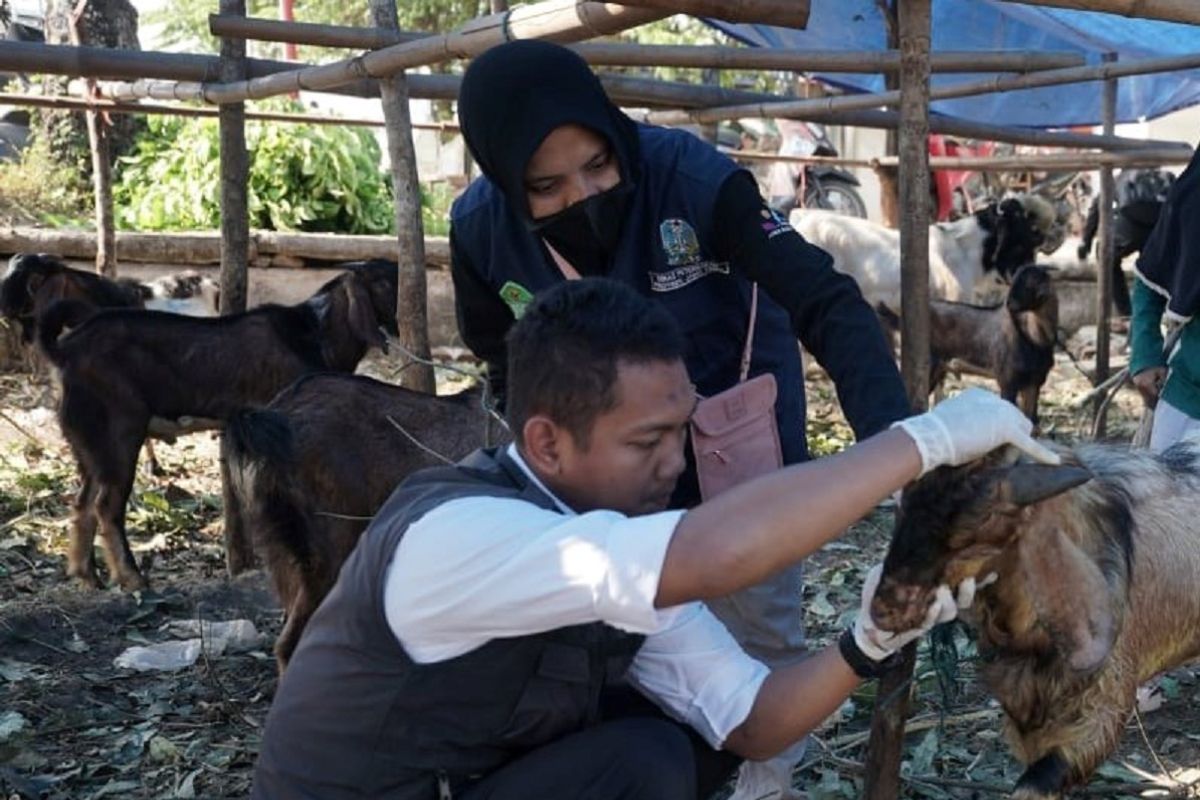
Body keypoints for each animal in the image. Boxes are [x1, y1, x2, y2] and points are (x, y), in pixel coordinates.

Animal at [34, 260, 393, 592]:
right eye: (384, 280)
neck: (313, 334)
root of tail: (64, 351)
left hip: (87, 440)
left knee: (83, 501)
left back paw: (88, 575)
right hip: (119, 430)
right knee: (106, 505)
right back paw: (133, 580)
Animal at [873, 262, 1060, 424]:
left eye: (1029, 284)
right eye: (1014, 282)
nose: (1009, 303)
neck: (1035, 340)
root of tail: (901, 319)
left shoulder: (1035, 381)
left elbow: (1032, 421)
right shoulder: (1008, 378)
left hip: (940, 369)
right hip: (929, 364)